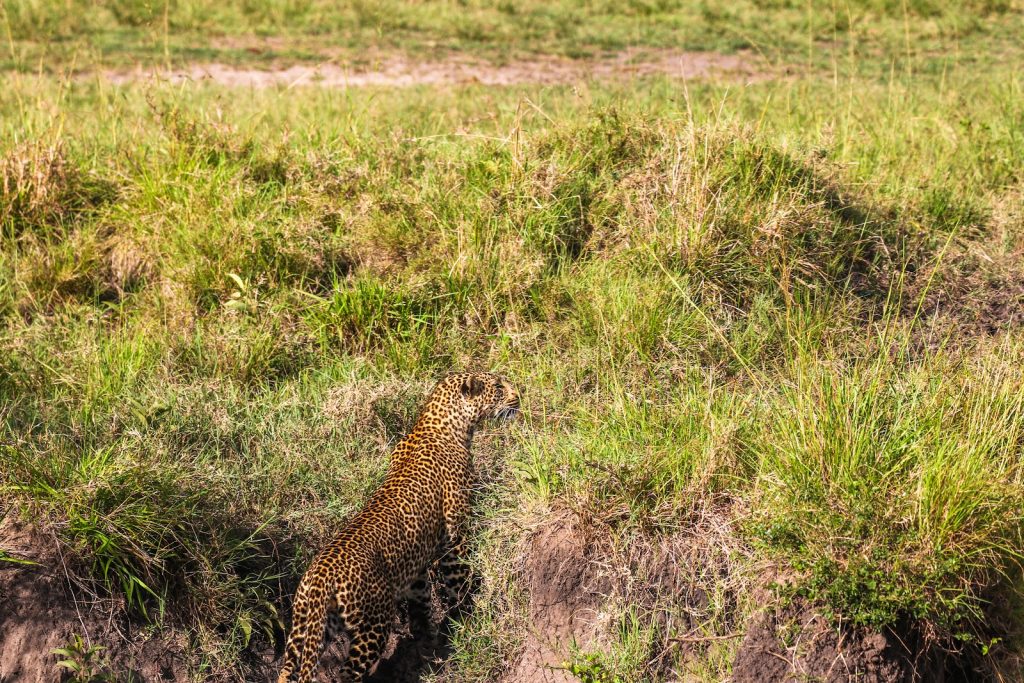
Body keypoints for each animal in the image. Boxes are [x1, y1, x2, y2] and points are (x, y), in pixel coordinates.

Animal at [277, 372, 520, 683]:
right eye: (499, 387)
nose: (519, 396)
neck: (444, 425)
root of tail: (321, 576)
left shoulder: (415, 567)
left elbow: (421, 600)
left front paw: (425, 637)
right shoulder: (455, 535)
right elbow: (459, 580)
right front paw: (466, 616)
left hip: (305, 626)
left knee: (287, 669)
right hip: (373, 624)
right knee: (347, 673)